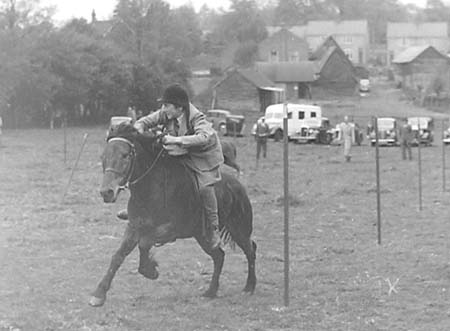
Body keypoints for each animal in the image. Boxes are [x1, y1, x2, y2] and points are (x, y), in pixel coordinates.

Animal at [89, 125, 256, 308]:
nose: (106, 192)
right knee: (219, 256)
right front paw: (99, 294)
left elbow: (144, 243)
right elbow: (118, 256)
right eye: (103, 157)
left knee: (250, 250)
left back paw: (249, 287)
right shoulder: (134, 227)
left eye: (125, 155)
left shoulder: (171, 229)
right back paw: (211, 291)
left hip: (239, 230)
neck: (151, 188)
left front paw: (151, 269)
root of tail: (238, 185)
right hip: (202, 236)